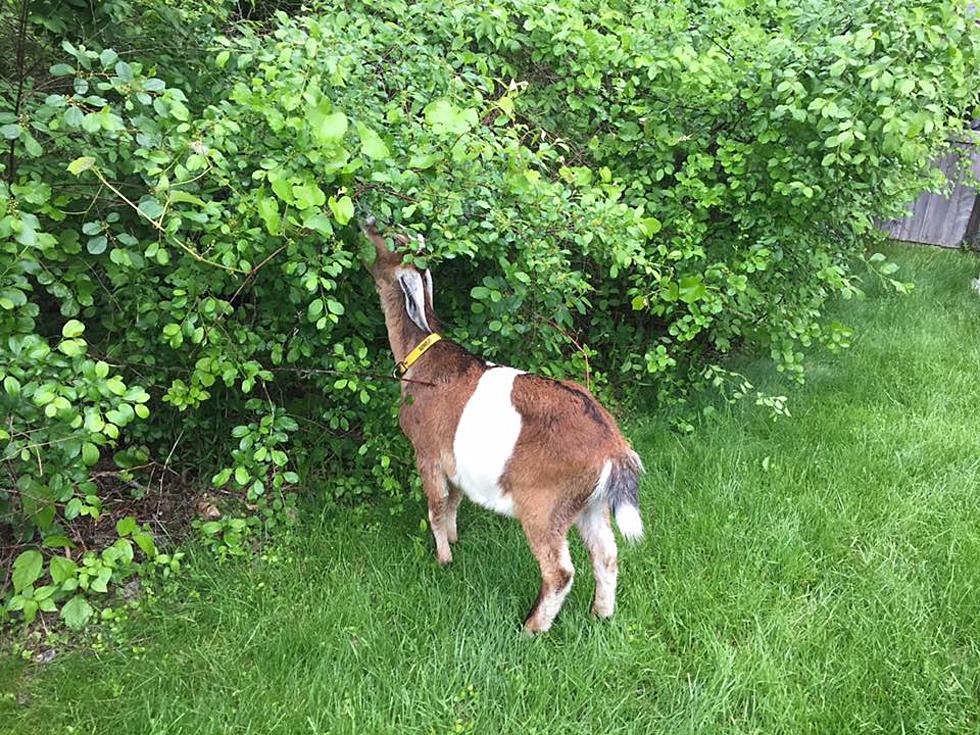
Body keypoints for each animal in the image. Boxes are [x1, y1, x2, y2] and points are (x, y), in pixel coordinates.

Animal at [360, 217, 644, 632]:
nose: (367, 222)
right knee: (606, 555)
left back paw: (531, 628)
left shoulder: (426, 452)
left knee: (559, 572)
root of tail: (613, 447)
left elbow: (436, 506)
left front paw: (443, 559)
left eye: (394, 239)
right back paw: (600, 614)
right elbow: (454, 501)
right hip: (589, 503)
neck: (422, 359)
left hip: (544, 506)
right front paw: (455, 540)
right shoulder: (454, 462)